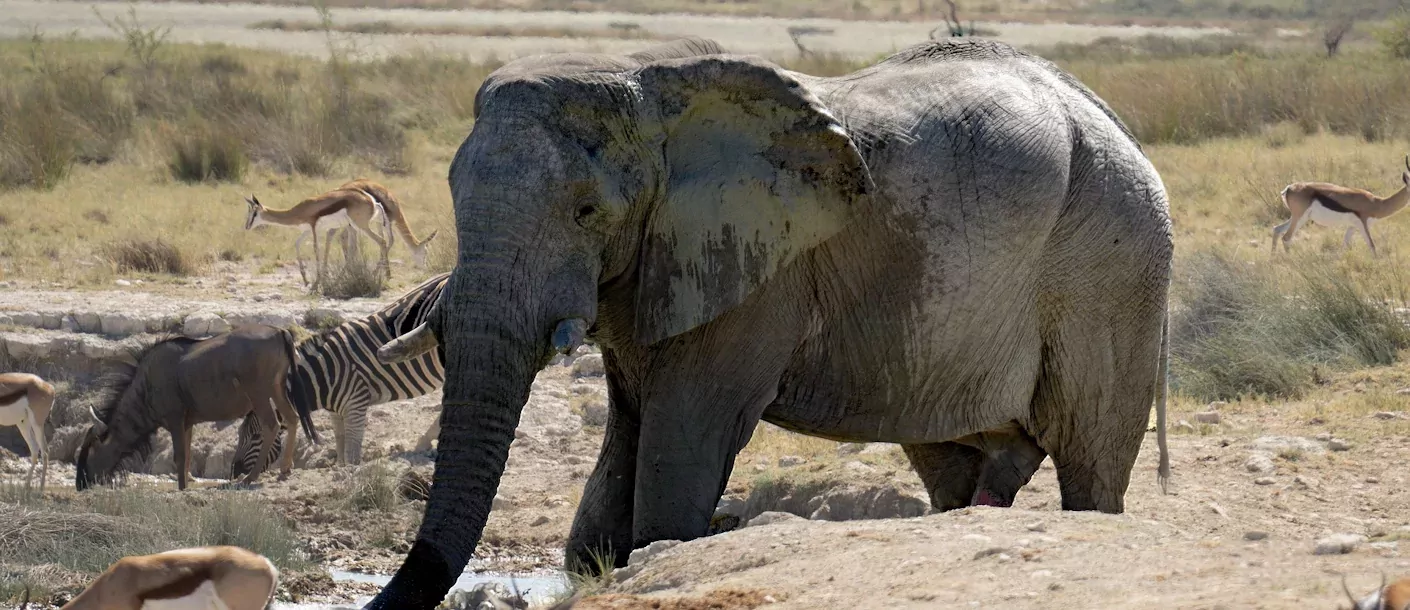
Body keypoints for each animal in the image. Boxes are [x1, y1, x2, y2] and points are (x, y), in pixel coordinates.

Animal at [228, 270, 445, 476]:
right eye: (240, 435)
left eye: (256, 436)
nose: (234, 472)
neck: (324, 375)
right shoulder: (336, 411)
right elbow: (340, 442)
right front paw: (340, 468)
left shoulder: (356, 403)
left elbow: (352, 448)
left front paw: (352, 472)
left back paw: (425, 441)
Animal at [360, 35, 1167, 605]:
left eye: (586, 211)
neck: (652, 88)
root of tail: (1111, 117)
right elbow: (624, 442)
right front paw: (601, 563)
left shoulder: (754, 273)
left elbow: (685, 440)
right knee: (955, 463)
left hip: (1114, 262)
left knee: (1090, 465)